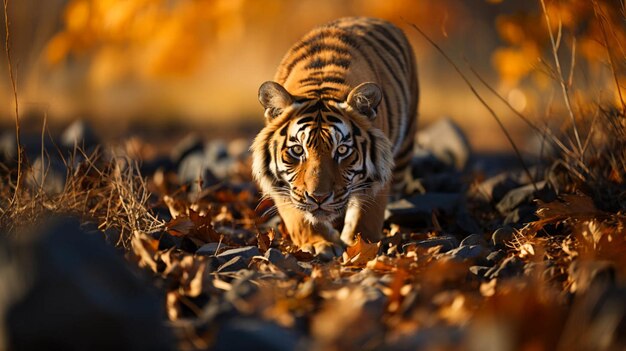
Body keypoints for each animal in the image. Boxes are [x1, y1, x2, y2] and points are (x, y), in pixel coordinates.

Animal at [250, 16, 420, 258]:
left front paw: (361, 248)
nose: (319, 198)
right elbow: (297, 215)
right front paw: (319, 243)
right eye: (297, 150)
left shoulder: (377, 178)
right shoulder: (281, 184)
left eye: (342, 150)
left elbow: (367, 215)